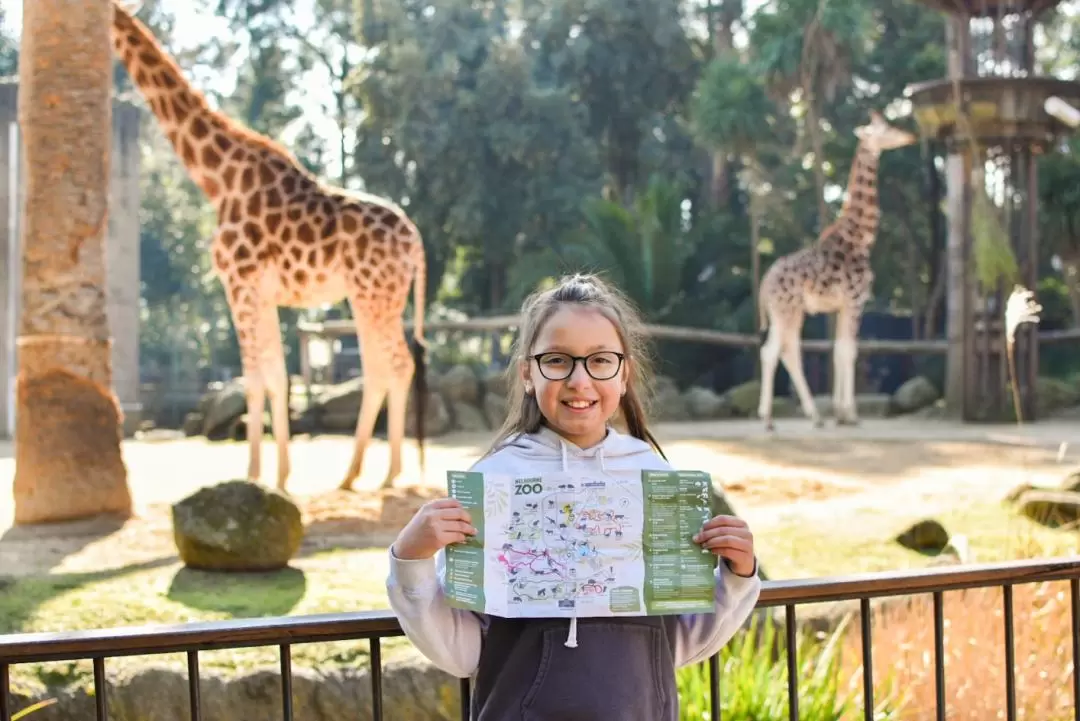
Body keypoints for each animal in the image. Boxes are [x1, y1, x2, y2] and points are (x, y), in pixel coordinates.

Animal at [109, 1, 427, 490]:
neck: (217, 178)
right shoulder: (262, 292)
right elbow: (278, 373)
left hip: (374, 295)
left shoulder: (237, 282)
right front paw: (280, 473)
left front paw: (254, 474)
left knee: (395, 364)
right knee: (381, 367)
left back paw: (383, 472)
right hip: (375, 297)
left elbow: (256, 375)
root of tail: (416, 243)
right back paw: (360, 472)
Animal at [756, 110, 915, 431]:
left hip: (791, 312)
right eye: (885, 129)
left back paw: (808, 416)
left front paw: (841, 414)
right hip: (787, 310)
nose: (909, 136)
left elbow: (839, 351)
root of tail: (764, 284)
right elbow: (848, 351)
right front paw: (850, 414)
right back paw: (771, 419)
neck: (861, 238)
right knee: (774, 352)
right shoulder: (856, 300)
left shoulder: (843, 305)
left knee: (785, 351)